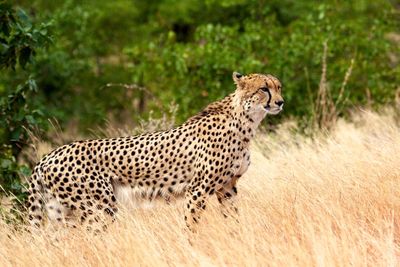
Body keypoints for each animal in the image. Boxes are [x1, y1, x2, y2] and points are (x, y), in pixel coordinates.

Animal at [26, 72, 282, 231]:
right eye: (263, 88)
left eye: (279, 87)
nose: (280, 102)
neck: (246, 121)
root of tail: (47, 157)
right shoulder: (197, 189)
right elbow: (191, 224)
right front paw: (191, 247)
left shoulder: (227, 187)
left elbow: (234, 220)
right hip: (99, 207)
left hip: (61, 212)